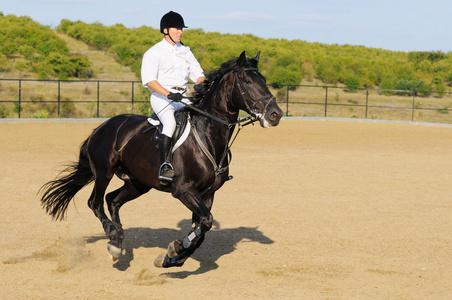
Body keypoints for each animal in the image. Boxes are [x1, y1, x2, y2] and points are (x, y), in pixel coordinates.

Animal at [41, 51, 282, 268]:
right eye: (248, 81)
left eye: (264, 80)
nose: (275, 114)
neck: (207, 135)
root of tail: (101, 127)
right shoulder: (183, 190)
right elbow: (205, 222)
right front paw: (176, 249)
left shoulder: (208, 193)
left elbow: (201, 229)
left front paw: (172, 257)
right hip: (104, 171)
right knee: (96, 202)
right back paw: (113, 238)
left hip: (139, 183)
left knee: (113, 200)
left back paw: (117, 243)